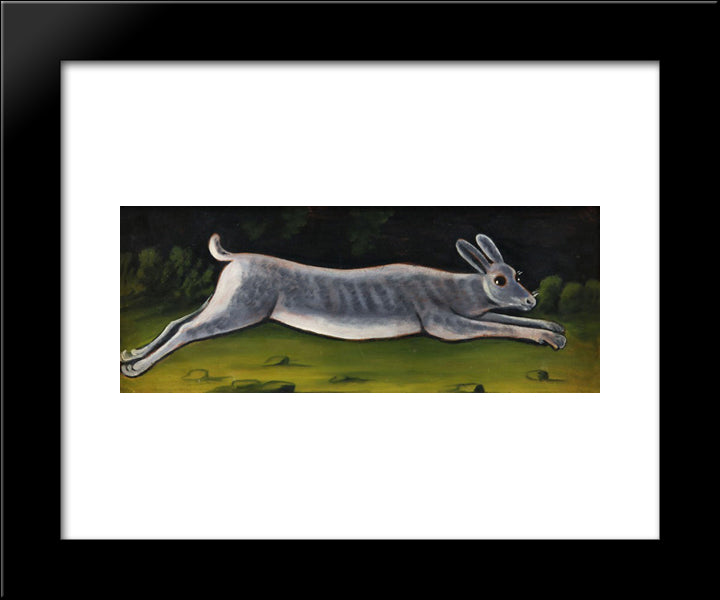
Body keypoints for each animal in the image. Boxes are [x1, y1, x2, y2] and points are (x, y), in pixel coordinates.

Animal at [120, 233, 566, 377]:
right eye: (499, 279)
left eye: (517, 272)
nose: (530, 298)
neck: (457, 290)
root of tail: (234, 258)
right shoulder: (443, 324)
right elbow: (498, 325)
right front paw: (553, 339)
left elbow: (502, 318)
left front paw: (557, 329)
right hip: (238, 311)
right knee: (187, 331)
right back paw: (137, 370)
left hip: (220, 301)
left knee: (176, 322)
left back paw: (129, 355)